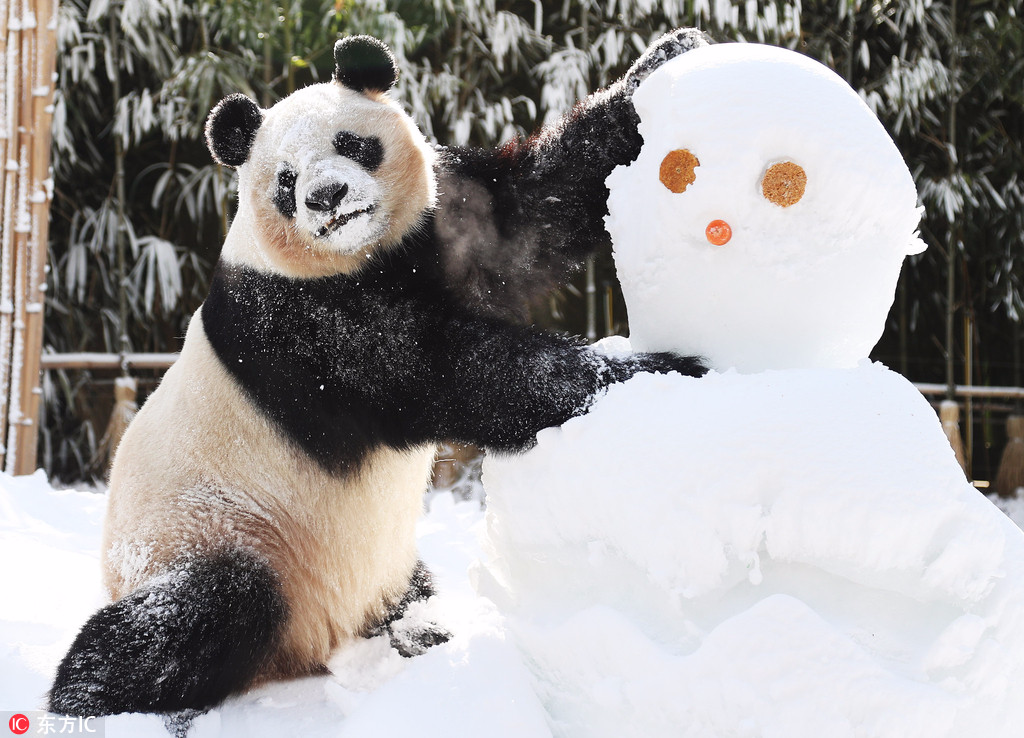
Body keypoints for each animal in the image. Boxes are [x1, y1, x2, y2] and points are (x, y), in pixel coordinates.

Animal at [46, 31, 704, 716]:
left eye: (351, 143)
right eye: (286, 181)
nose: (326, 198)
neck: (361, 256)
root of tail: (312, 645)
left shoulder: (439, 220)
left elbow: (530, 214)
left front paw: (665, 58)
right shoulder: (306, 324)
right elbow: (447, 372)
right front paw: (661, 373)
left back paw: (419, 628)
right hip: (214, 530)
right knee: (200, 609)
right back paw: (90, 691)